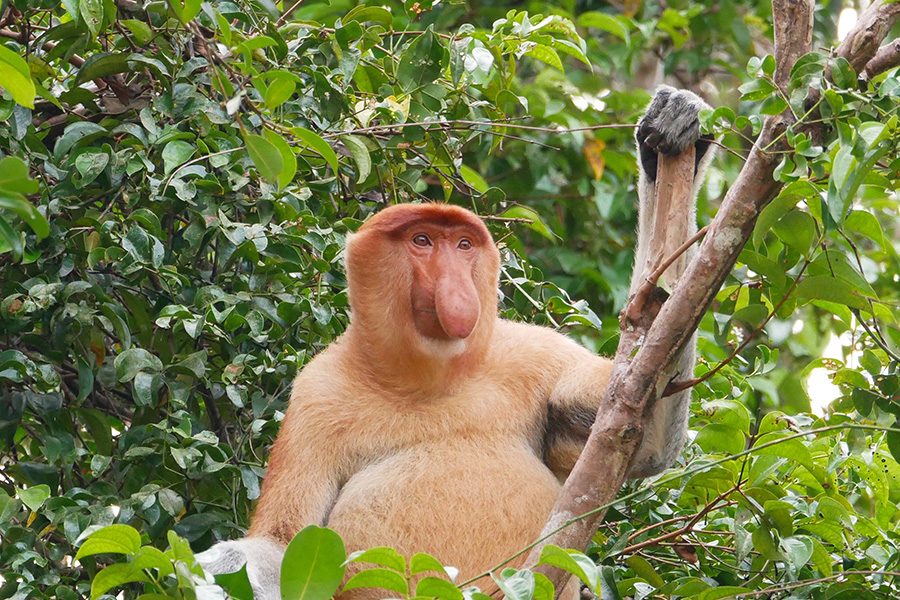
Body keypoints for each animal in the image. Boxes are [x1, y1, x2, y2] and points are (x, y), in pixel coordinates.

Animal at [200, 86, 712, 596]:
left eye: (463, 245)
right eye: (422, 241)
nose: (457, 291)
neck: (431, 377)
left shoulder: (532, 355)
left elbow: (639, 441)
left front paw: (667, 134)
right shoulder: (315, 397)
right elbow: (283, 542)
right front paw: (214, 565)